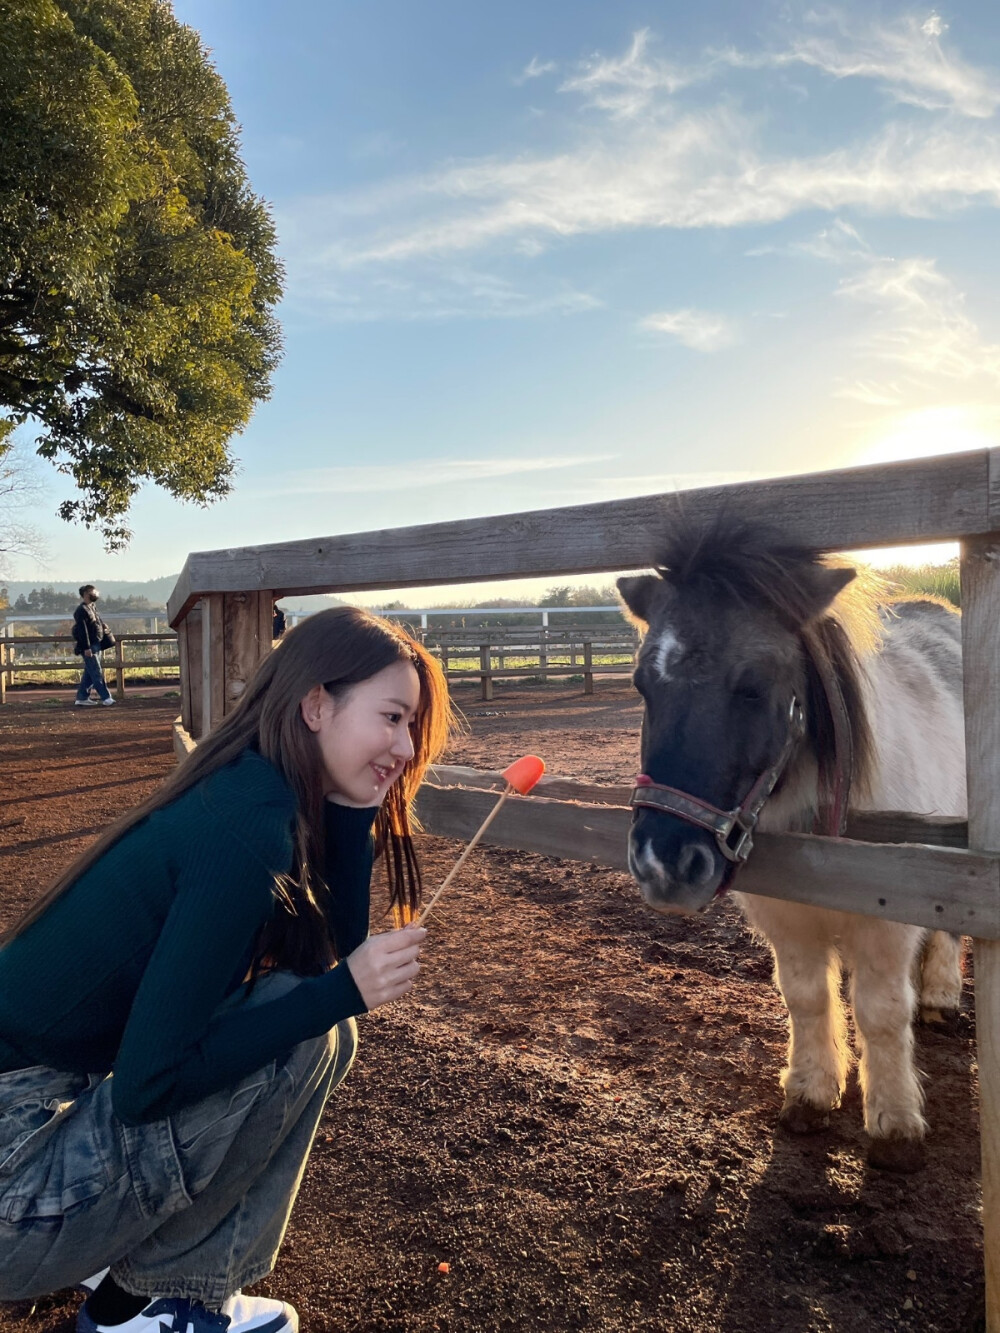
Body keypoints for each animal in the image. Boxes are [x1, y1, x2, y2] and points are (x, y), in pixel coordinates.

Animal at [624, 514, 965, 1173]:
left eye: (753, 686)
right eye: (641, 684)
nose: (663, 865)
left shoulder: (888, 920)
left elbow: (882, 1012)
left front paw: (894, 1123)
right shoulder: (784, 917)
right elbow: (806, 998)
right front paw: (810, 1092)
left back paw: (940, 991)